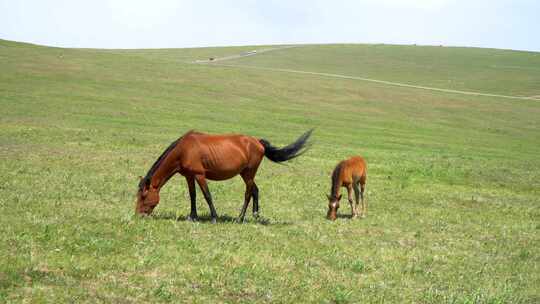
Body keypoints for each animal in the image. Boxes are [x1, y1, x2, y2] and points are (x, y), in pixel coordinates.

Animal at [135, 129, 312, 223]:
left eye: (143, 196)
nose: (138, 215)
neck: (183, 150)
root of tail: (258, 142)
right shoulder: (189, 176)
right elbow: (193, 196)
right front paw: (193, 217)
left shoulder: (199, 175)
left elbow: (207, 196)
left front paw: (214, 217)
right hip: (245, 173)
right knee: (255, 190)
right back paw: (255, 215)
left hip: (249, 173)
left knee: (248, 193)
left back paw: (240, 218)